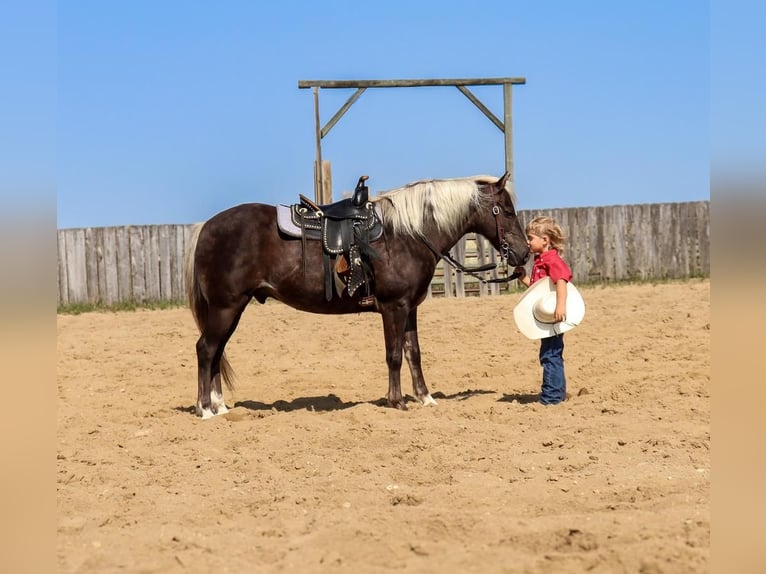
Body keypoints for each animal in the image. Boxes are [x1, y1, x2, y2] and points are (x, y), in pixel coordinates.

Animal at [187, 171, 536, 418]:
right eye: (506, 211)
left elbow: (414, 353)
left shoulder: (410, 308)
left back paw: (220, 406)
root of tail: (207, 227)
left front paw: (425, 397)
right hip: (225, 307)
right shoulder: (394, 307)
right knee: (206, 349)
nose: (523, 253)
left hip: (232, 309)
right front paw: (397, 401)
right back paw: (205, 409)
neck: (408, 234)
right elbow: (394, 355)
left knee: (217, 352)